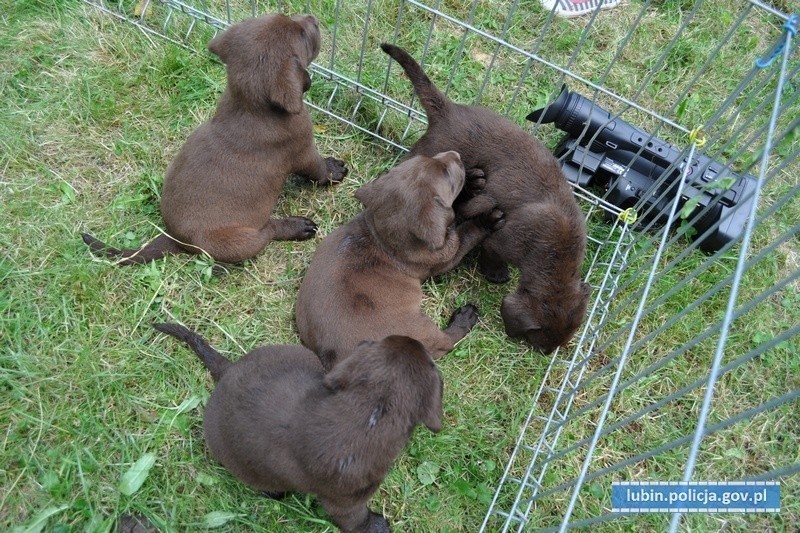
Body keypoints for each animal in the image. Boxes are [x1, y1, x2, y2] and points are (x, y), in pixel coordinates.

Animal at [83, 15, 346, 266]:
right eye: (301, 34)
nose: (312, 18)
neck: (251, 108)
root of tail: (174, 238)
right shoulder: (302, 150)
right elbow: (318, 168)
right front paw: (335, 170)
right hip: (241, 240)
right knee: (267, 232)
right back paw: (298, 227)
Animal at [152, 320, 444, 532]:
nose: (413, 338)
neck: (368, 412)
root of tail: (228, 370)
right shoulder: (345, 501)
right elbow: (356, 521)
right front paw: (377, 525)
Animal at [296, 150, 504, 370]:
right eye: (447, 173)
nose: (455, 154)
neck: (382, 238)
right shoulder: (446, 254)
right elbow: (465, 230)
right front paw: (487, 220)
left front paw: (473, 181)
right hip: (420, 330)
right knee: (446, 342)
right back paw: (465, 317)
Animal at [378, 44, 592, 354]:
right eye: (539, 345)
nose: (546, 355)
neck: (557, 252)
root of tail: (449, 110)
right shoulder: (500, 241)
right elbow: (491, 254)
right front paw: (496, 274)